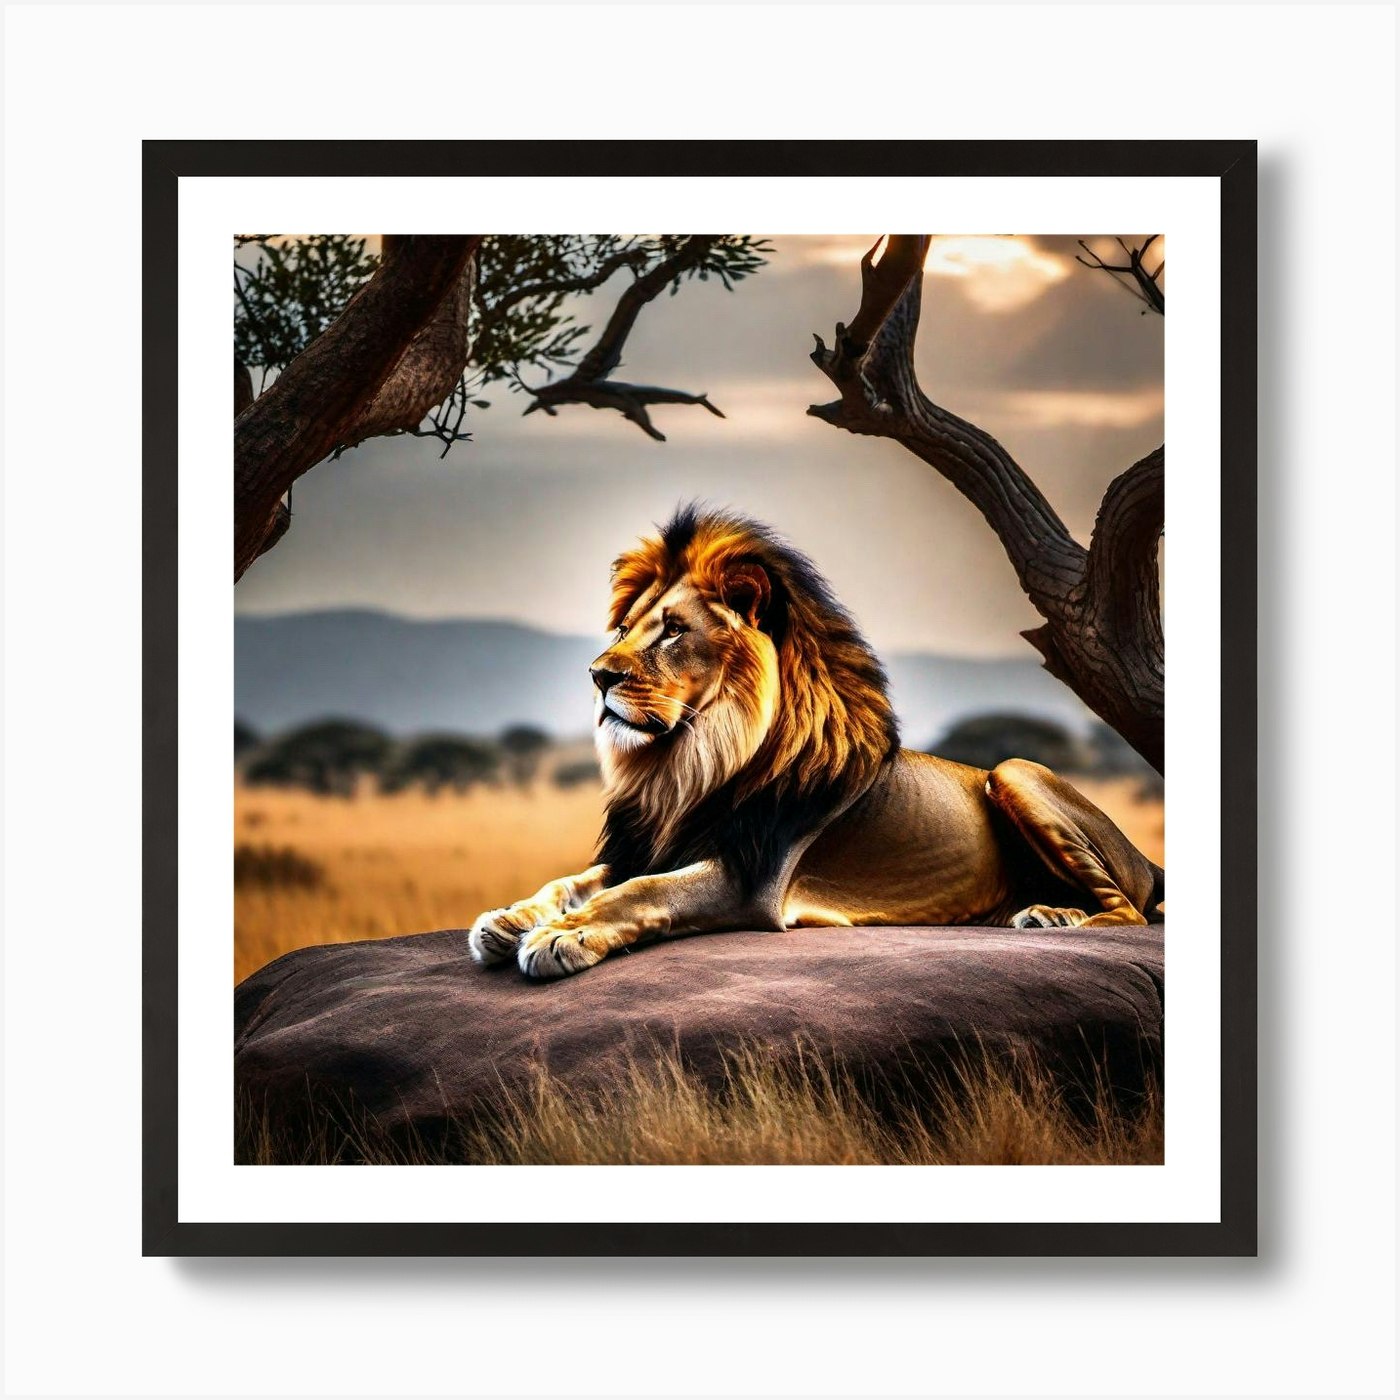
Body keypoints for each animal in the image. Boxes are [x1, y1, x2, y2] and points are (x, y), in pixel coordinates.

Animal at [469, 506, 1164, 979]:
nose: (597, 674)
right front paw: (508, 920)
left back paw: (1055, 918)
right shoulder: (648, 846)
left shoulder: (750, 880)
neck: (690, 762)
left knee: (1131, 912)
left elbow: (638, 892)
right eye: (624, 629)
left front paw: (558, 938)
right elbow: (574, 880)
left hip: (1014, 769)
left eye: (671, 631)